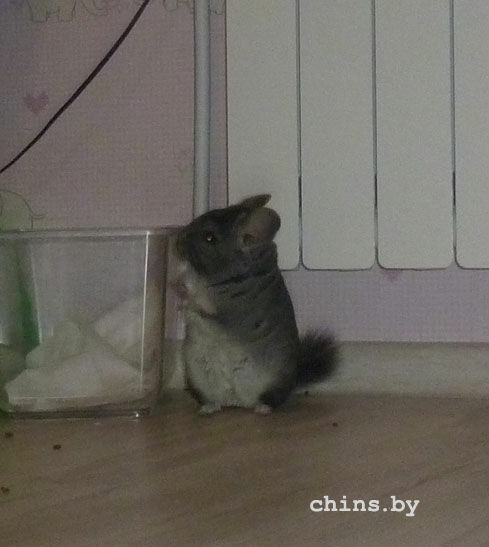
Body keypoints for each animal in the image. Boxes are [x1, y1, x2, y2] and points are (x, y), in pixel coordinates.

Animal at [173, 194, 337, 415]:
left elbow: (199, 302)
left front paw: (180, 293)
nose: (177, 238)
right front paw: (178, 284)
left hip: (273, 382)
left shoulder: (226, 309)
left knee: (271, 399)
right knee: (214, 401)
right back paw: (208, 408)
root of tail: (236, 401)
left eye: (209, 237)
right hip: (198, 376)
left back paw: (262, 409)